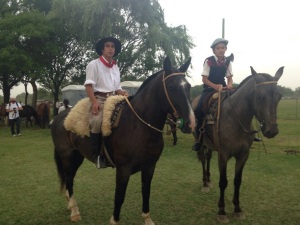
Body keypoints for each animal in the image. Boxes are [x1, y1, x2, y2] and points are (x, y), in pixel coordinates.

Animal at [50, 56, 196, 225]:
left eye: (188, 86)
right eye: (171, 87)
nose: (191, 123)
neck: (139, 125)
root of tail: (60, 118)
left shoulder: (149, 166)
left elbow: (146, 192)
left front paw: (147, 218)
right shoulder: (123, 170)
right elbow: (119, 197)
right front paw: (114, 220)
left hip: (77, 156)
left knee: (70, 179)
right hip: (67, 156)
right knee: (69, 178)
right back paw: (74, 211)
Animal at [192, 66, 284, 222]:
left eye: (279, 96)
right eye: (260, 97)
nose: (272, 130)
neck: (235, 119)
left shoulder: (243, 155)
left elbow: (237, 181)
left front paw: (237, 209)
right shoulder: (223, 155)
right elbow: (223, 182)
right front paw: (222, 211)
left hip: (210, 145)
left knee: (208, 157)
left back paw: (208, 180)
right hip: (200, 141)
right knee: (203, 159)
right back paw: (204, 183)